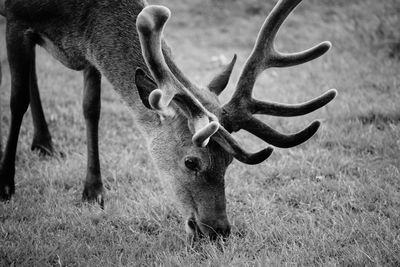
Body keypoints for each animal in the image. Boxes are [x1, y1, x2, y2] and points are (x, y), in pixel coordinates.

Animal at [0, 0, 338, 240]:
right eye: (191, 161)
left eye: (229, 162)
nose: (219, 231)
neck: (77, 17)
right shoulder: (16, 19)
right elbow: (16, 101)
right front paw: (6, 186)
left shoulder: (90, 51)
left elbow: (91, 109)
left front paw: (93, 191)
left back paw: (44, 142)